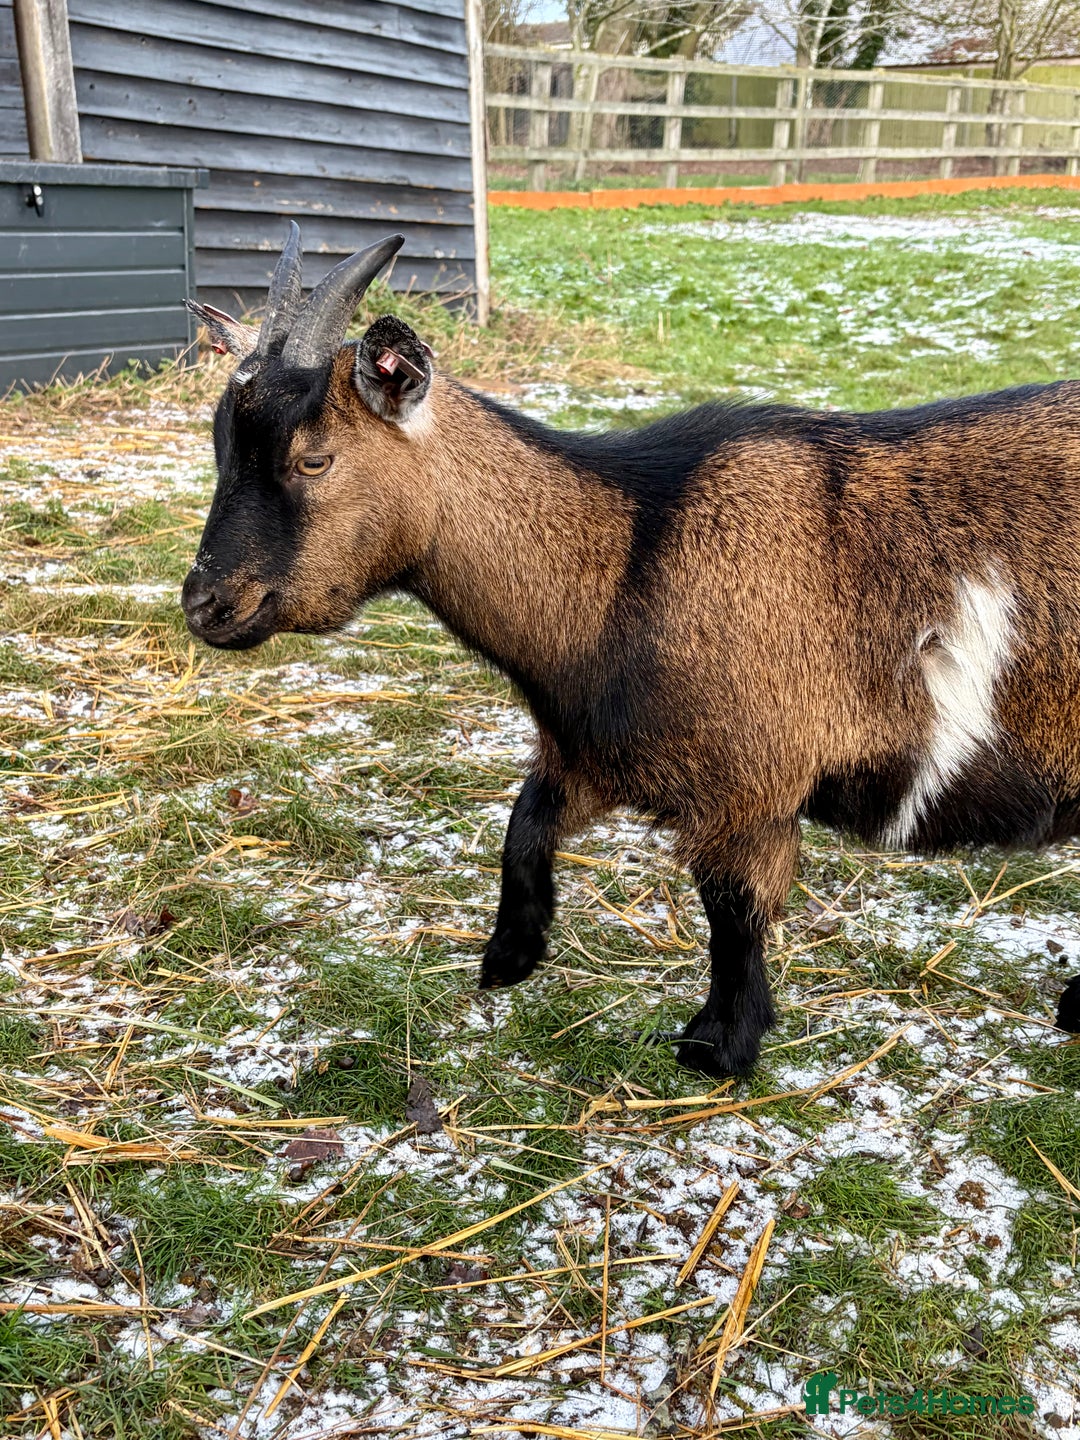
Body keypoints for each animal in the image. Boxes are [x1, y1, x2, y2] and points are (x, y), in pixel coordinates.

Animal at [182, 225, 1080, 1077]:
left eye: (314, 457)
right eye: (221, 448)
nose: (206, 605)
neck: (631, 558)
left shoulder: (749, 785)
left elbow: (732, 914)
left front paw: (720, 1047)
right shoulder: (597, 754)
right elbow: (526, 825)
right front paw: (510, 957)